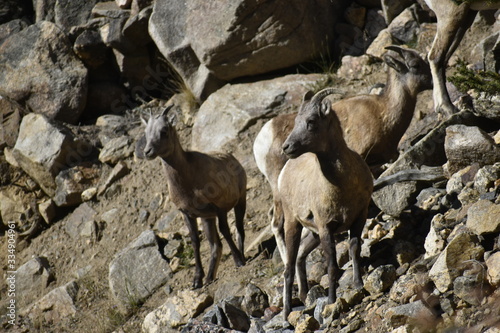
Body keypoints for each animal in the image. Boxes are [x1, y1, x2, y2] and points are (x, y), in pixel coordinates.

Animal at [142, 105, 247, 286]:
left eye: (164, 131)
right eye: (146, 132)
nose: (148, 152)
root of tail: (233, 159)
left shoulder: (219, 209)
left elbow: (226, 231)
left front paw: (238, 261)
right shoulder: (188, 214)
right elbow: (195, 242)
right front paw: (197, 280)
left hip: (240, 202)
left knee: (239, 230)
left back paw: (242, 257)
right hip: (207, 219)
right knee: (215, 245)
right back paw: (210, 277)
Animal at [280, 87, 374, 316]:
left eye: (311, 121)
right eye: (296, 121)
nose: (286, 147)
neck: (342, 185)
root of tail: (283, 172)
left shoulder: (359, 217)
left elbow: (354, 250)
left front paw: (358, 284)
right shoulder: (326, 228)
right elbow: (332, 267)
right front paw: (332, 300)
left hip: (312, 234)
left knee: (299, 258)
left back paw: (304, 296)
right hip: (293, 225)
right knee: (287, 269)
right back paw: (287, 313)